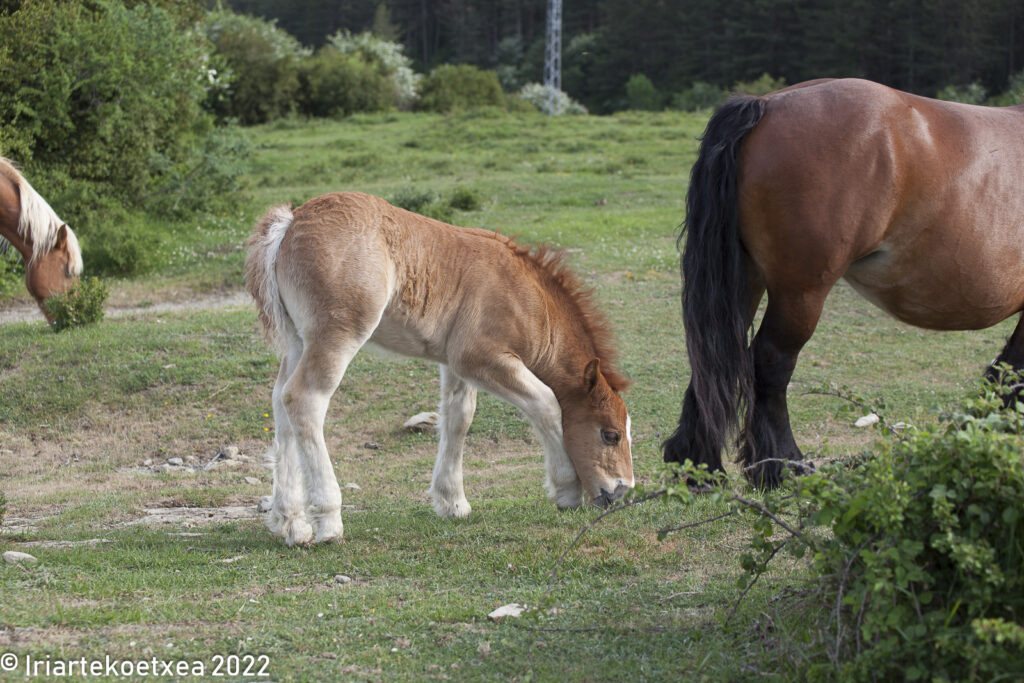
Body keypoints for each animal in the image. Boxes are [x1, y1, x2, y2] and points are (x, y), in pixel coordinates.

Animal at [245, 192, 630, 544]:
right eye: (610, 434)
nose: (622, 491)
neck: (527, 297)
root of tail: (290, 222)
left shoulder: (456, 364)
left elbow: (459, 417)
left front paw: (452, 502)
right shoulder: (482, 357)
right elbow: (547, 403)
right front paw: (566, 489)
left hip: (299, 339)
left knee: (280, 401)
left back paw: (291, 523)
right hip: (338, 334)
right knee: (304, 399)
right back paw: (327, 523)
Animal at [659, 78, 1024, 485]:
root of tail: (767, 105)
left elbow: (1006, 372)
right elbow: (1013, 372)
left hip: (743, 283)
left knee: (715, 359)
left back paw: (699, 466)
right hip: (801, 294)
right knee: (769, 362)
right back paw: (784, 465)